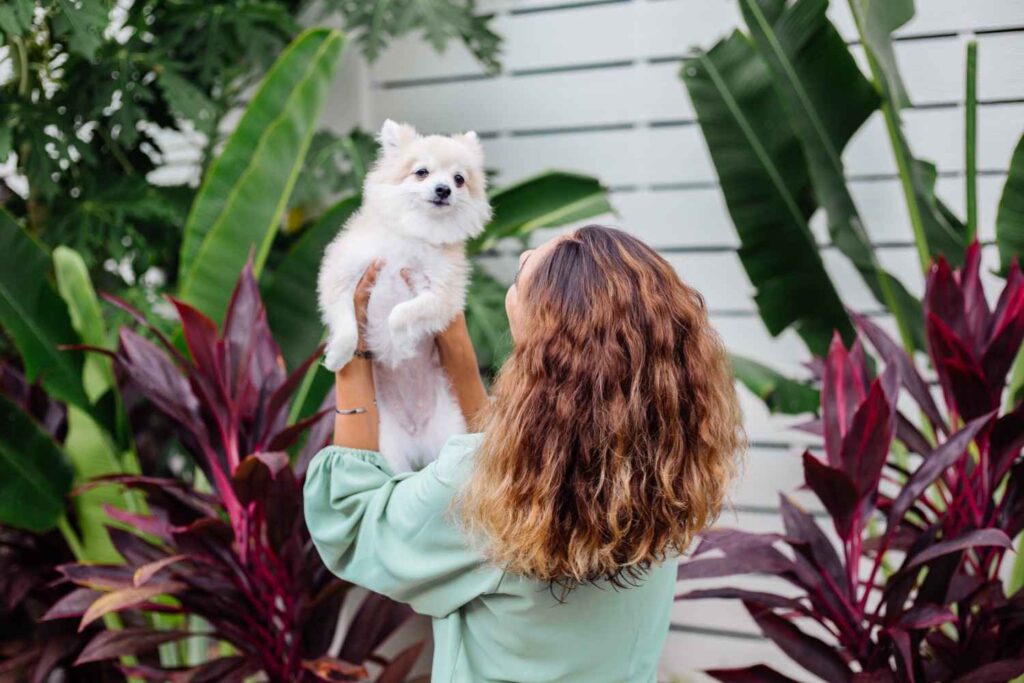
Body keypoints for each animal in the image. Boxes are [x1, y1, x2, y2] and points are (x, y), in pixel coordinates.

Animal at [315, 121, 491, 475]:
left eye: (459, 179)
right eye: (421, 173)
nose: (443, 189)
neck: (415, 234)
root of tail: (416, 436)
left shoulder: (441, 294)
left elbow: (402, 312)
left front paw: (398, 338)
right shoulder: (344, 276)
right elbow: (346, 323)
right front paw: (339, 354)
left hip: (448, 433)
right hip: (389, 448)